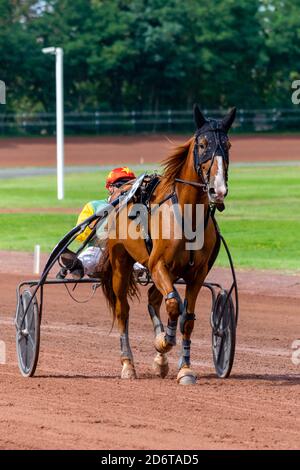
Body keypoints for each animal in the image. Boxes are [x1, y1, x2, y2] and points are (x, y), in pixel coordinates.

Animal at [99, 105, 236, 386]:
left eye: (227, 145)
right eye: (203, 144)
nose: (218, 190)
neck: (187, 216)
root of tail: (121, 193)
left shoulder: (197, 273)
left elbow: (187, 318)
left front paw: (184, 368)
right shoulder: (158, 264)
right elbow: (174, 304)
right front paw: (164, 342)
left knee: (154, 298)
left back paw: (161, 360)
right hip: (122, 264)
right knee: (123, 310)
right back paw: (128, 364)